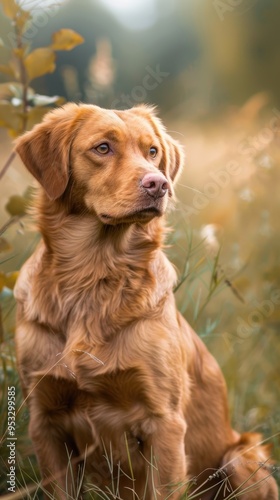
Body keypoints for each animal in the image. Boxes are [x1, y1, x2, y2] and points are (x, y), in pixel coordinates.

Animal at [13, 103, 278, 498]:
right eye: (103, 148)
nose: (159, 184)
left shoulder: (164, 422)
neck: (93, 276)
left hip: (241, 458)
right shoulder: (45, 421)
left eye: (152, 151)